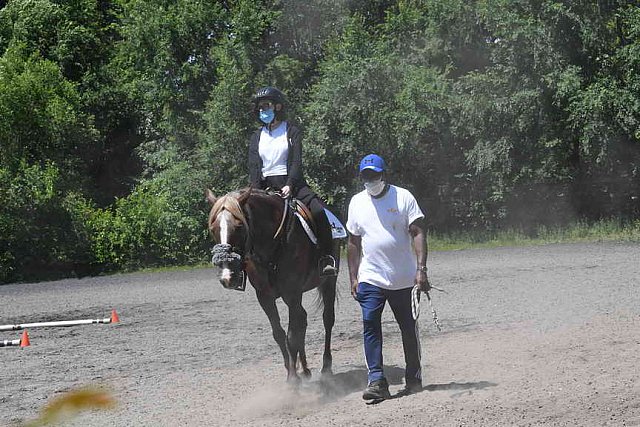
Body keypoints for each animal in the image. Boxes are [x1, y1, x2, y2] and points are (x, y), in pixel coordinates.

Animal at [206, 187, 340, 382]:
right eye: (213, 228)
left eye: (239, 226)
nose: (227, 276)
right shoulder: (265, 297)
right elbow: (279, 334)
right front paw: (291, 371)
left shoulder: (292, 294)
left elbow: (291, 335)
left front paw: (293, 379)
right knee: (303, 319)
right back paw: (304, 369)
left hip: (328, 281)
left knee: (327, 319)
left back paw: (326, 367)